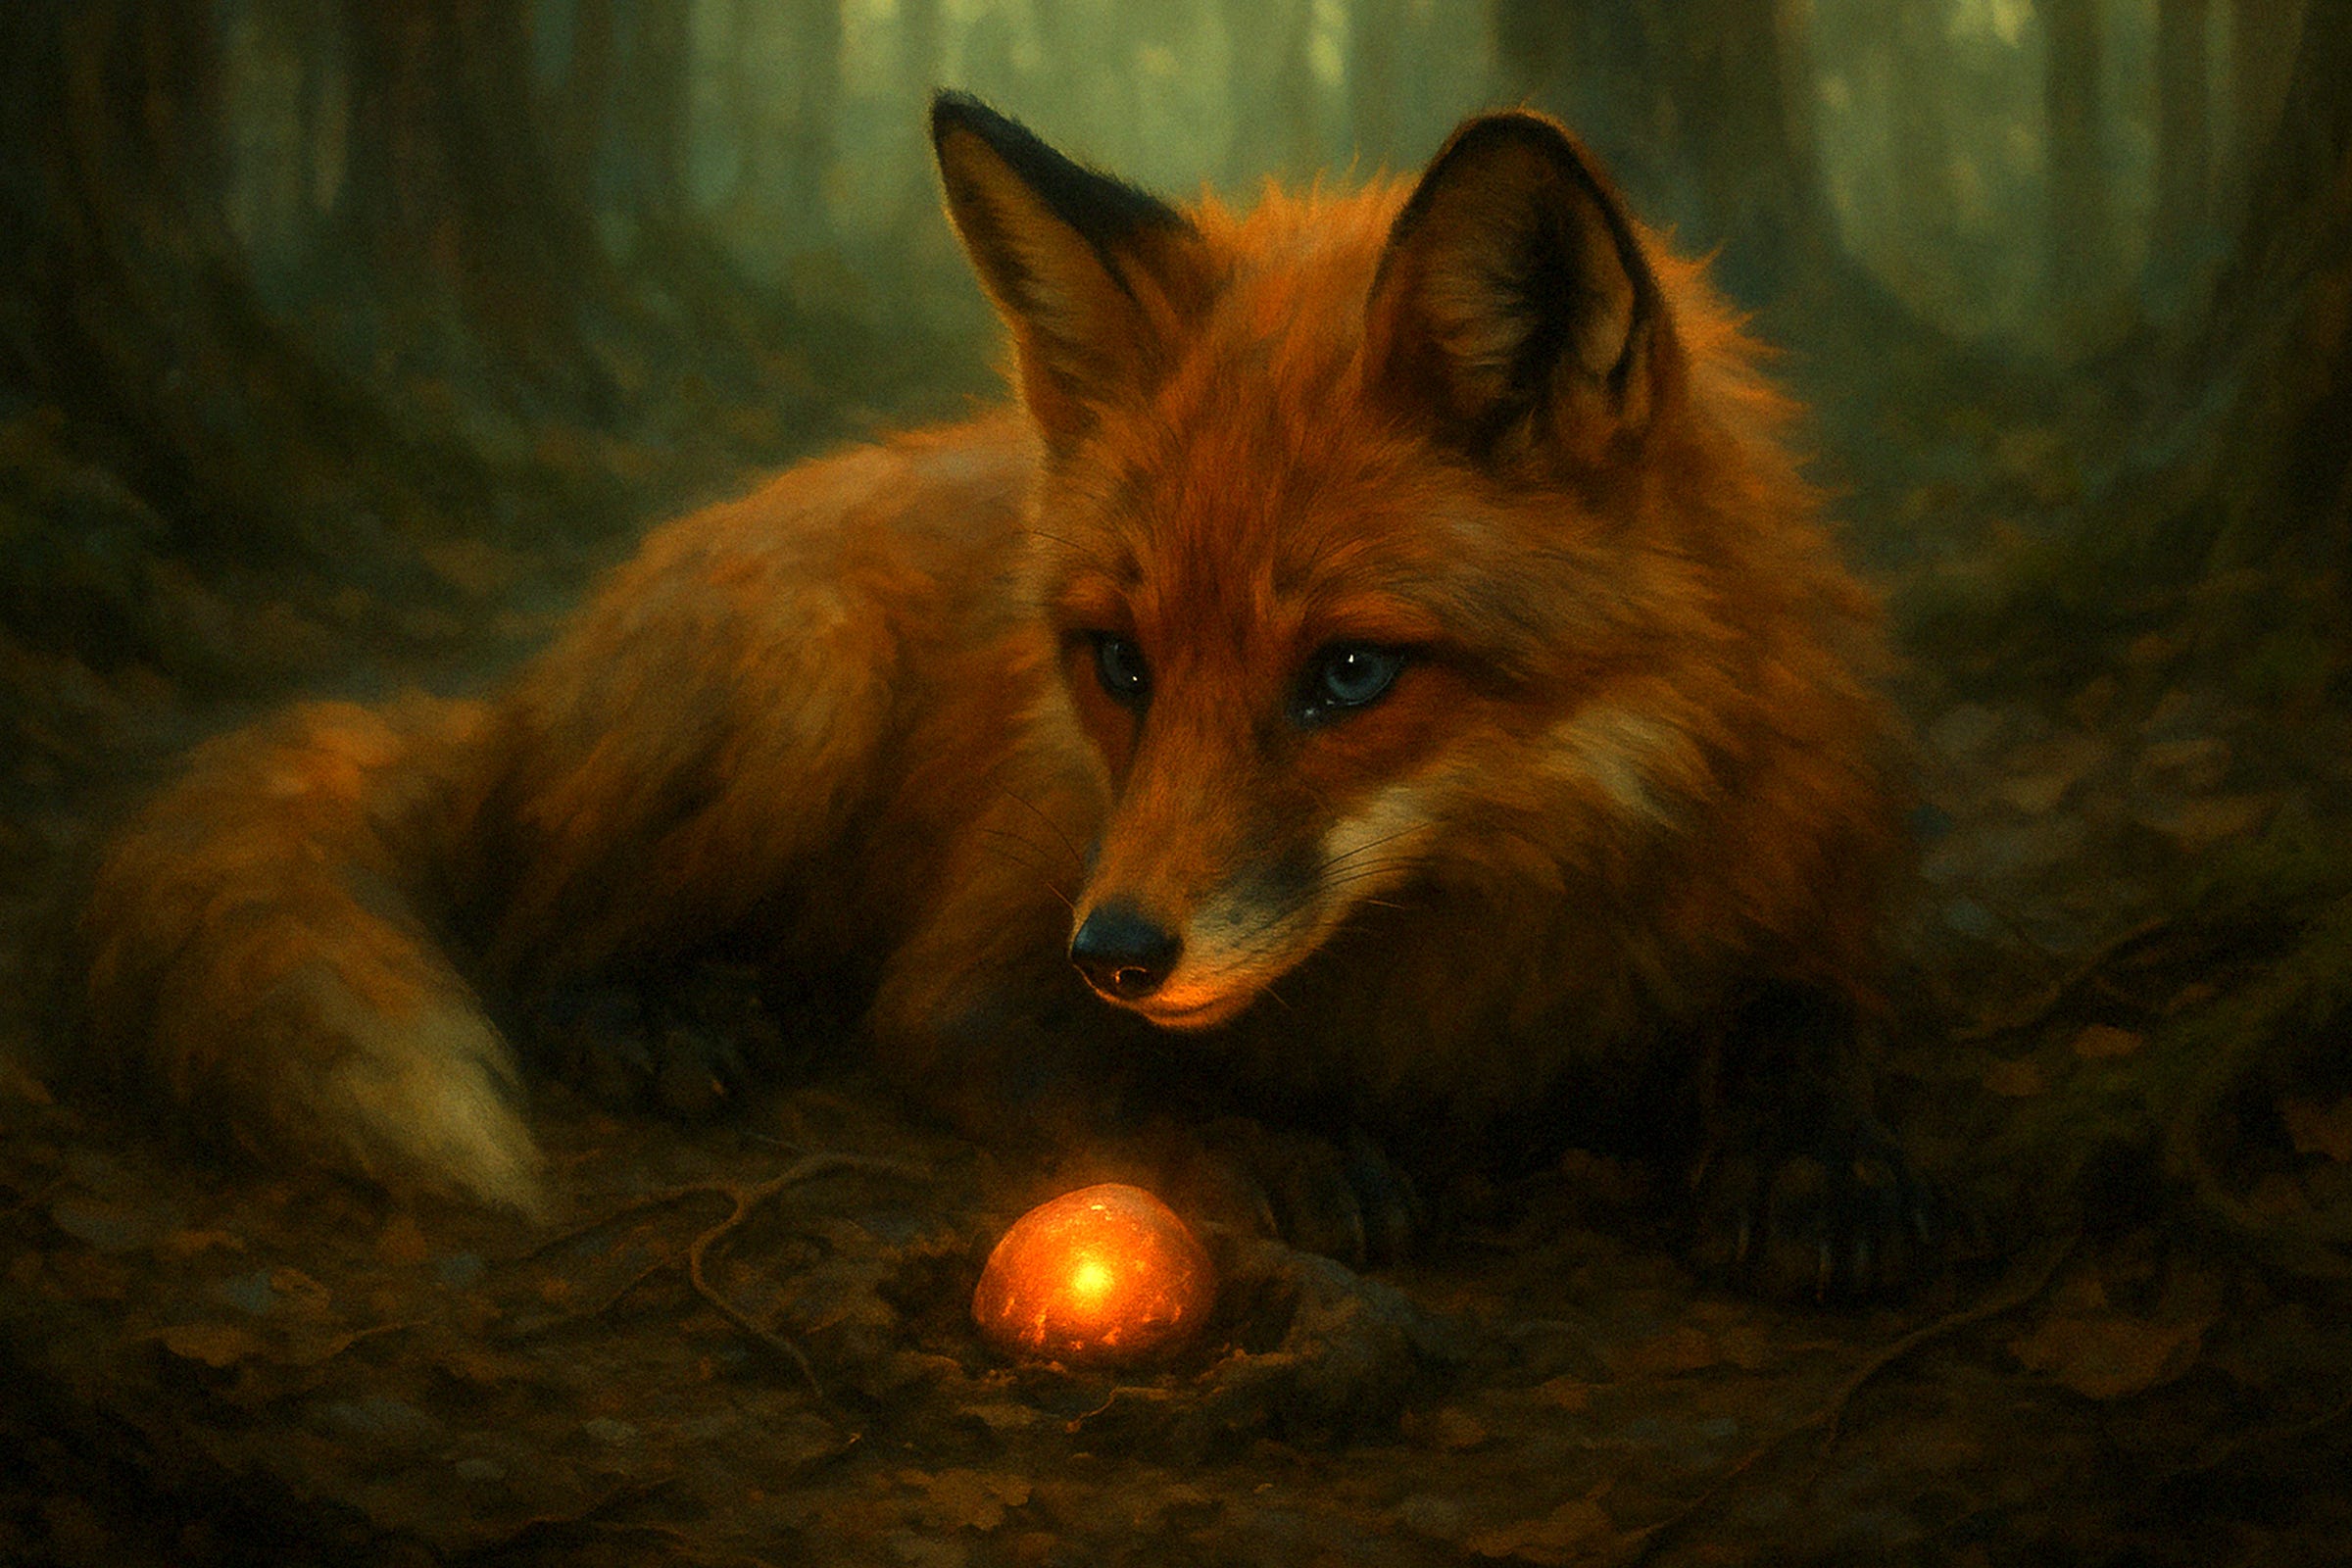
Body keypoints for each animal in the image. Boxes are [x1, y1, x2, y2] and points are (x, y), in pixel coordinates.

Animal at [82, 95, 1917, 1295]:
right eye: (1121, 664)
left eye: (1349, 673)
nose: (1113, 952)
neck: (1498, 911)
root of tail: (525, 685)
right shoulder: (964, 982)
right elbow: (1130, 1094)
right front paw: (1274, 1147)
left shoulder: (1804, 891)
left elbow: (1813, 1018)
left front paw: (1815, 1155)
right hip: (802, 684)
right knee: (525, 929)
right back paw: (657, 1011)